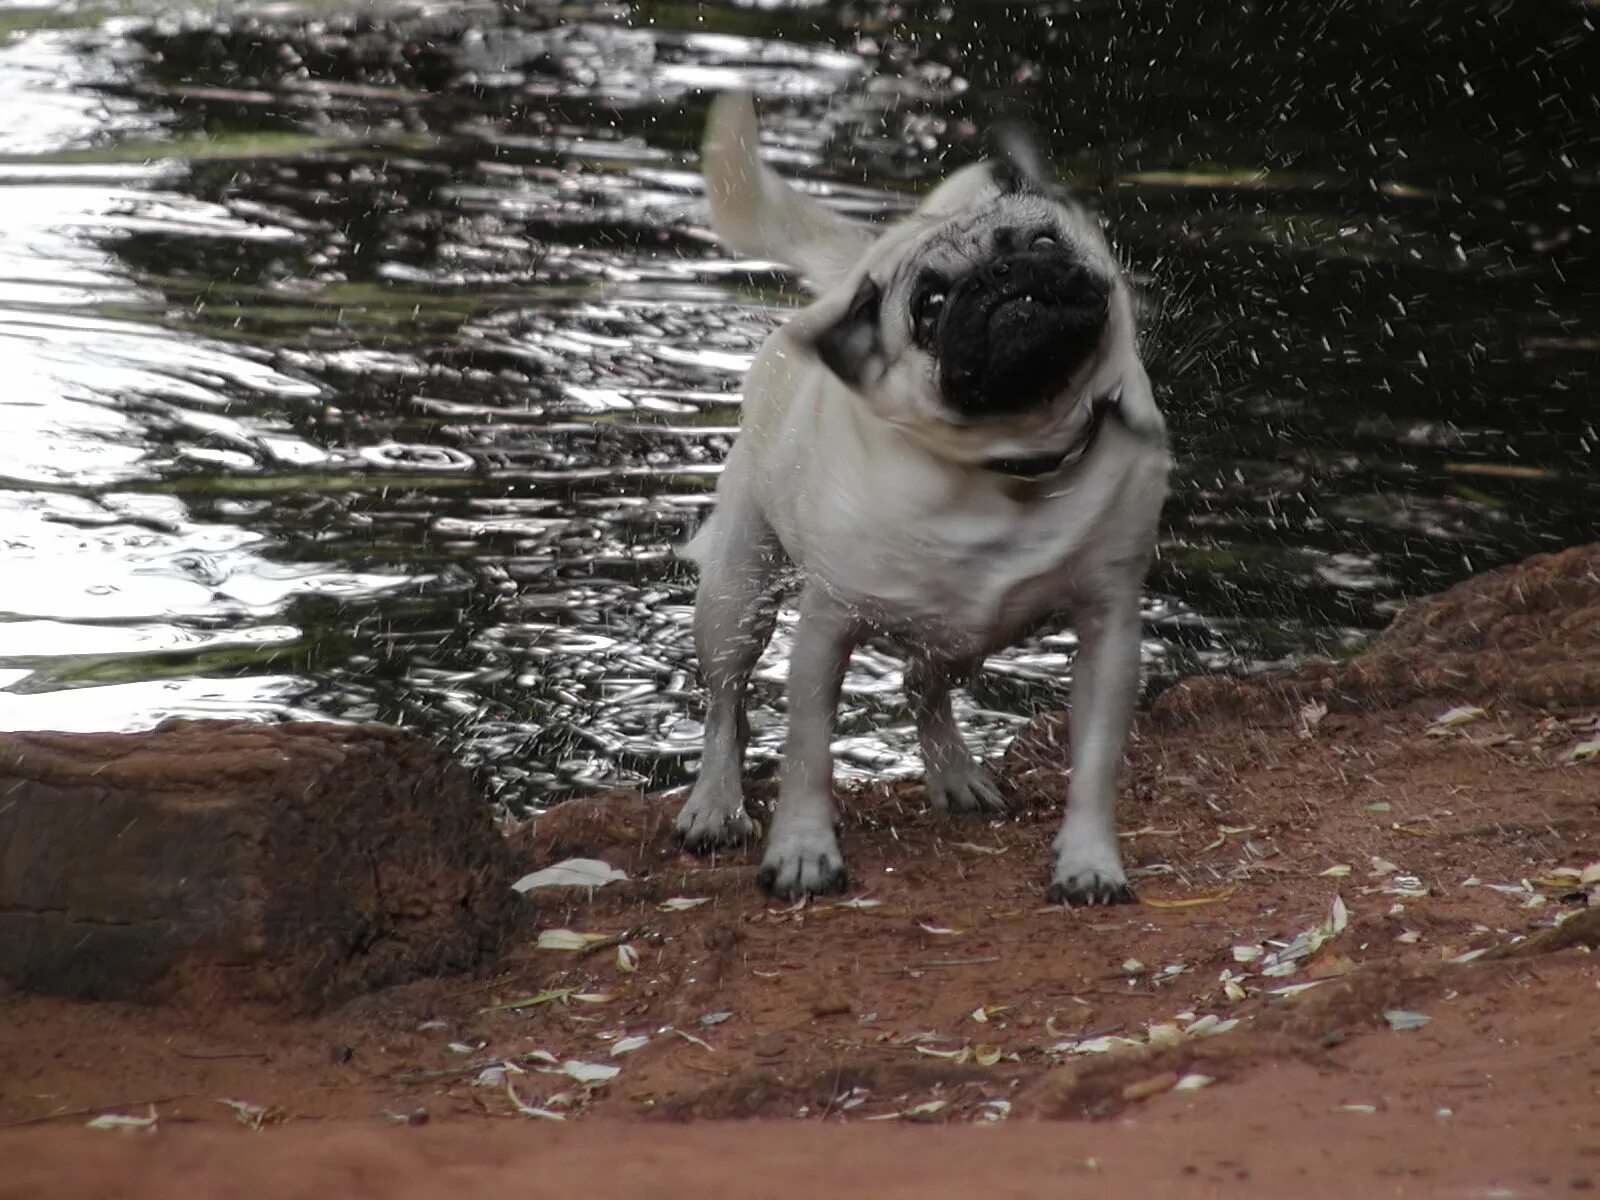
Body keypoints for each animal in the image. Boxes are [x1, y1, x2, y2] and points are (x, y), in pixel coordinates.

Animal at [668, 91, 1171, 902]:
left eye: (1046, 241)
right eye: (930, 304)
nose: (1005, 274)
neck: (1007, 458)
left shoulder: (1110, 627)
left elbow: (1096, 762)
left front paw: (1091, 861)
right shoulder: (827, 628)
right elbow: (808, 754)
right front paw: (803, 852)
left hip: (969, 632)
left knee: (923, 684)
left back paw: (954, 773)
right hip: (738, 593)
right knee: (726, 701)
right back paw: (714, 803)